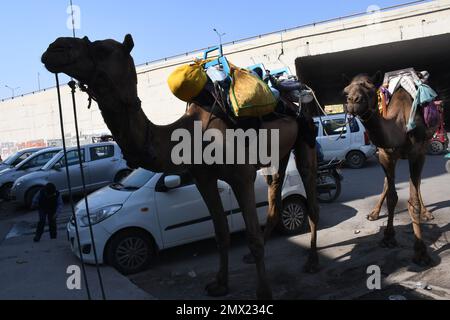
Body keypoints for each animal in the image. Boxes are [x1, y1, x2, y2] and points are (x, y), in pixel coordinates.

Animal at [40, 35, 318, 300]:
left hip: (305, 136)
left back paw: (311, 262)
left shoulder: (241, 176)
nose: (54, 48)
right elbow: (220, 232)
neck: (192, 134)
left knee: (310, 198)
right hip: (279, 153)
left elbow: (251, 237)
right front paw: (219, 284)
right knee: (274, 191)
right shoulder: (203, 178)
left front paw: (263, 293)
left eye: (102, 49)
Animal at [346, 72, 438, 264]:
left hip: (425, 146)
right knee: (387, 183)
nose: (353, 100)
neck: (400, 123)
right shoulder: (385, 155)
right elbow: (391, 196)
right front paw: (388, 237)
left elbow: (413, 200)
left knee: (418, 183)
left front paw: (421, 251)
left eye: (370, 88)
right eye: (345, 90)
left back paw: (427, 213)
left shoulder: (417, 154)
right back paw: (374, 213)